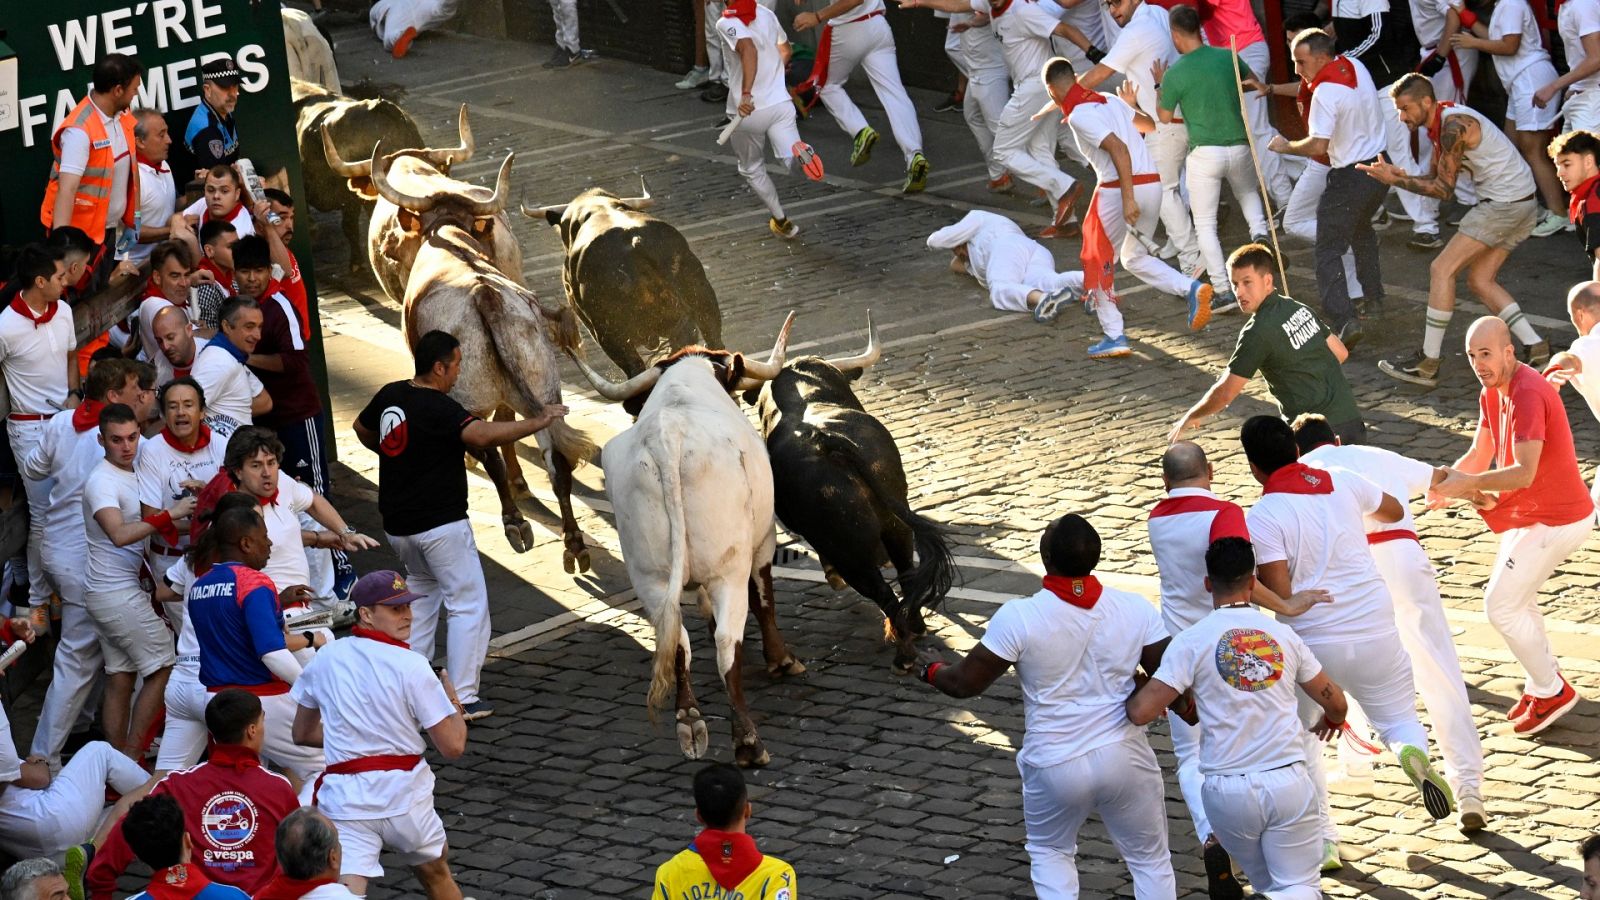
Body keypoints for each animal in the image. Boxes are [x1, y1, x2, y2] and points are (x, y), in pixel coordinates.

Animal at [569, 313, 806, 762]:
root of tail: (668, 440)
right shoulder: (762, 542)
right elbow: (764, 596)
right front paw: (781, 660)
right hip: (727, 569)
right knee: (727, 642)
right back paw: (746, 740)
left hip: (649, 576)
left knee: (675, 639)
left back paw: (689, 720)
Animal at [745, 312, 953, 669]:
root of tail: (827, 440)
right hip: (896, 525)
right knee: (907, 574)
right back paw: (916, 629)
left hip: (850, 551)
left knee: (883, 594)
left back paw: (904, 654)